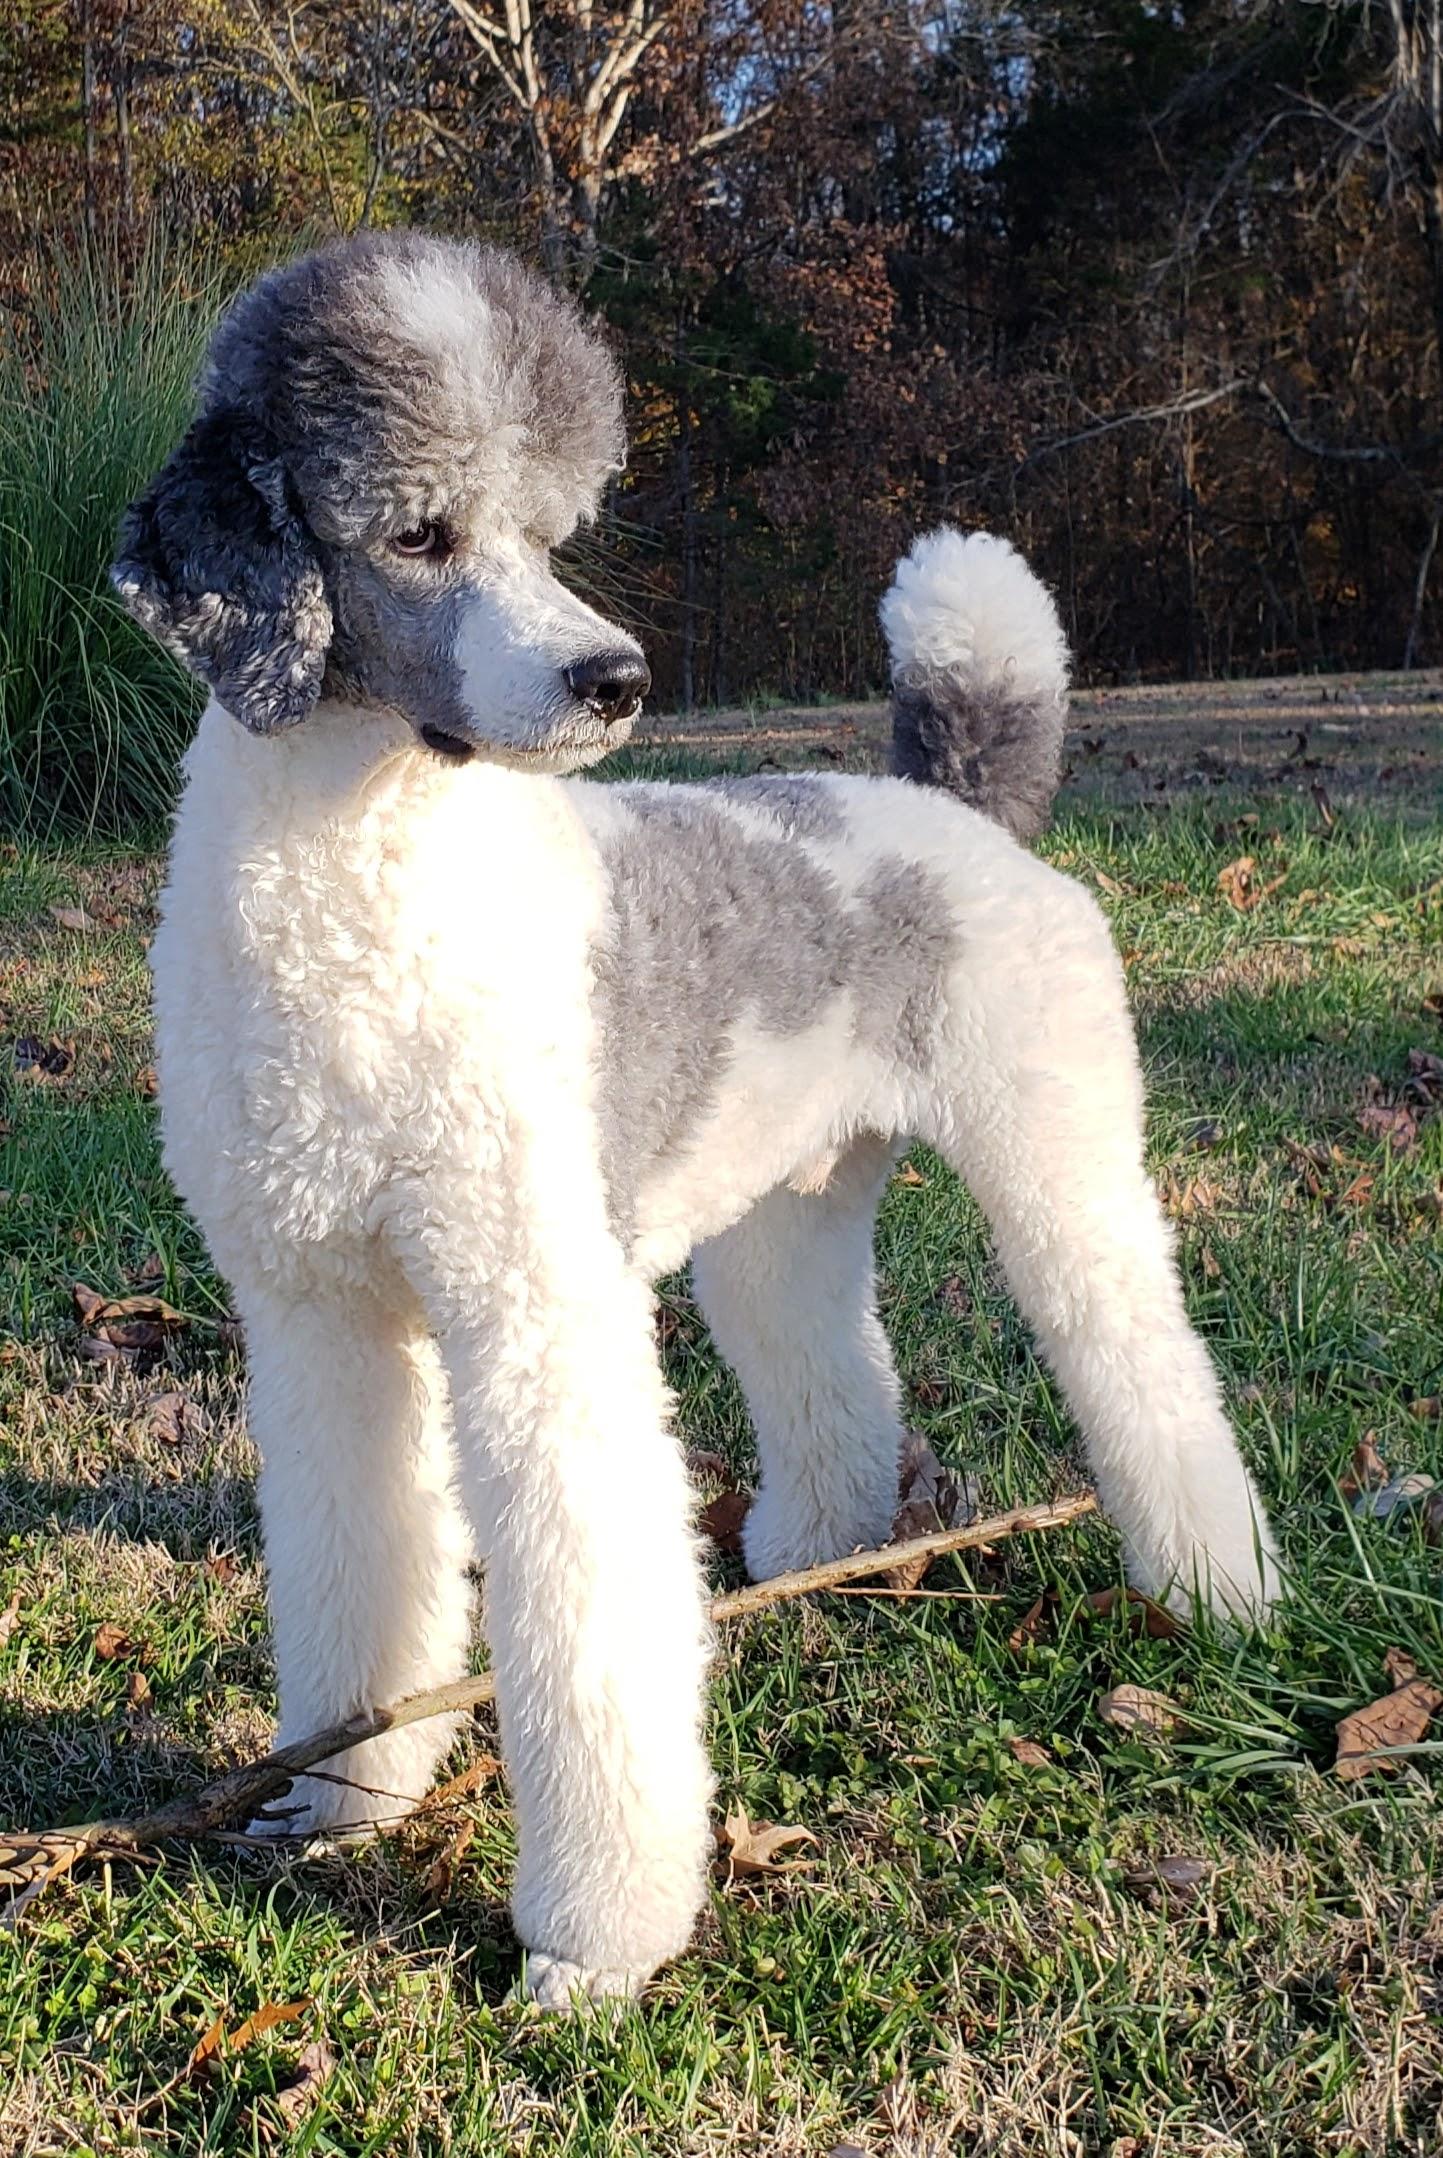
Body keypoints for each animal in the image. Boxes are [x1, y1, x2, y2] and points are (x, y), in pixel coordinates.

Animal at [113, 230, 1279, 2009]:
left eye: (553, 531)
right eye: (419, 530)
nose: (616, 681)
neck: (369, 879)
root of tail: (941, 801)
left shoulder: (536, 1313)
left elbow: (583, 1627)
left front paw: (592, 1944)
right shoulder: (318, 1312)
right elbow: (354, 1565)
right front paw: (340, 1796)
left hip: (1058, 1163)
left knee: (1145, 1366)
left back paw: (1218, 1596)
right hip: (780, 1216)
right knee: (836, 1384)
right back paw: (812, 1551)